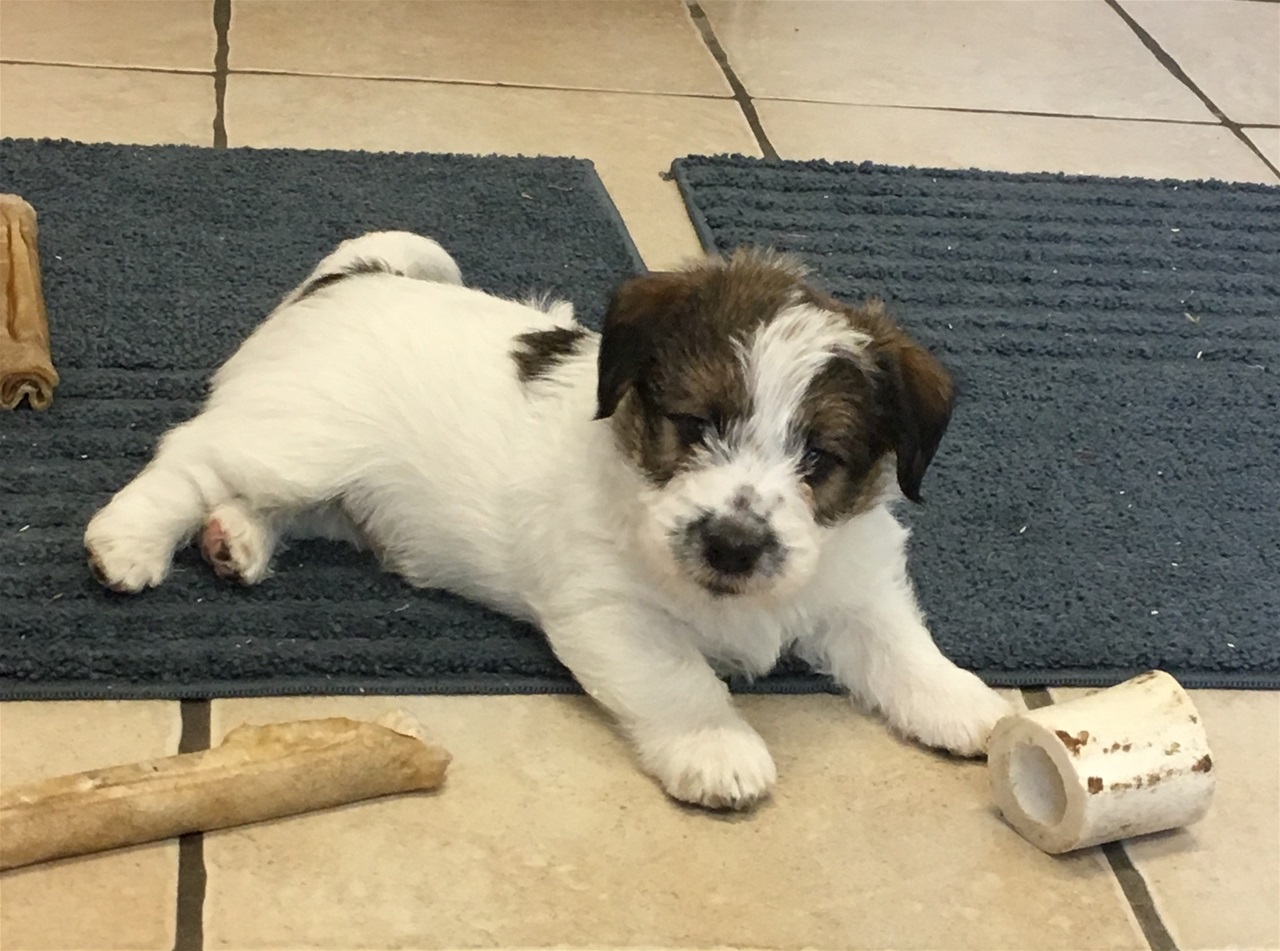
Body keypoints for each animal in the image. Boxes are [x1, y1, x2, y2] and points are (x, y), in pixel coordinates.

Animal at [84, 230, 1011, 810]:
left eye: (819, 458)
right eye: (695, 425)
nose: (734, 545)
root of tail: (353, 276)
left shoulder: (857, 589)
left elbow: (903, 650)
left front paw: (966, 702)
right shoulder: (610, 611)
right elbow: (682, 678)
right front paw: (716, 745)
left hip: (327, 486)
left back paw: (235, 537)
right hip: (298, 440)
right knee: (192, 453)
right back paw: (129, 539)